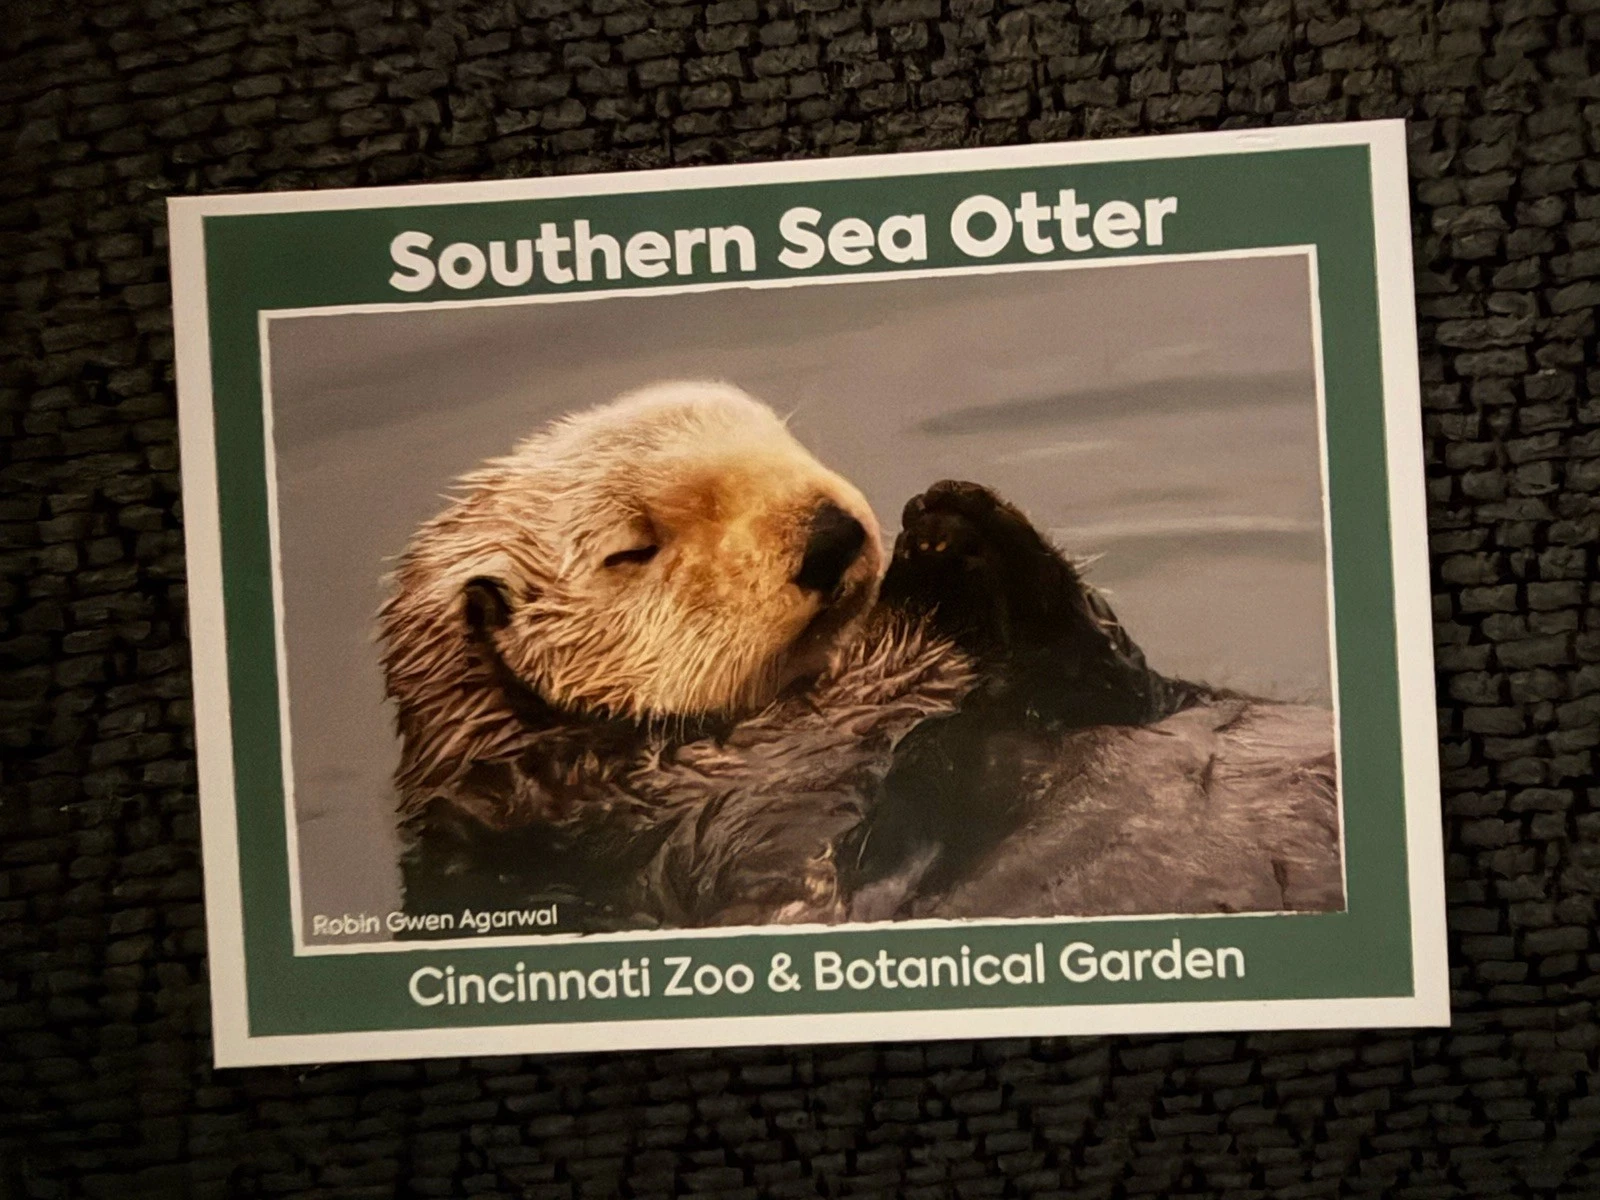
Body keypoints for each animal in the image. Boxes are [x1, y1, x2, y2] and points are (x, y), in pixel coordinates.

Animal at [378, 382, 1342, 932]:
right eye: (633, 548)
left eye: (783, 443)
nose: (829, 534)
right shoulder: (675, 824)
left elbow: (1111, 677)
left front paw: (955, 522)